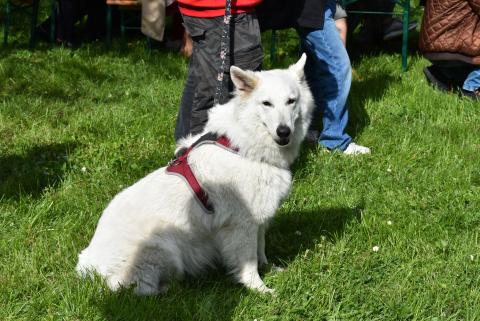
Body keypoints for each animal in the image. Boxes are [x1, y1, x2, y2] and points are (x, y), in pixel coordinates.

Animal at [75, 53, 316, 294]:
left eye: (291, 101)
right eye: (267, 103)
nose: (283, 131)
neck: (243, 148)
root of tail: (88, 265)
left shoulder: (258, 219)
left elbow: (260, 250)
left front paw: (270, 269)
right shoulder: (241, 224)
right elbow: (249, 263)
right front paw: (260, 289)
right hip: (164, 246)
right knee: (140, 289)